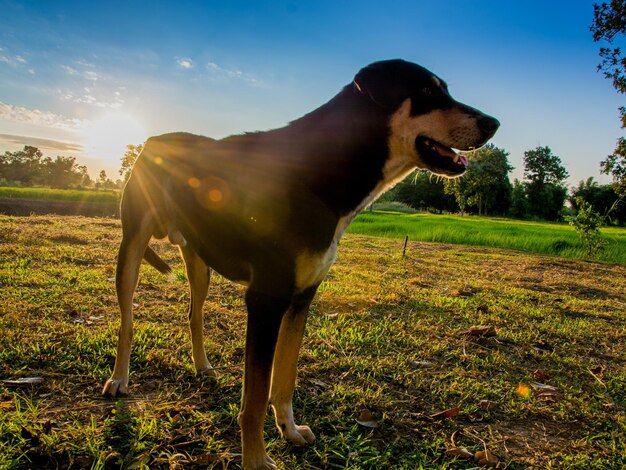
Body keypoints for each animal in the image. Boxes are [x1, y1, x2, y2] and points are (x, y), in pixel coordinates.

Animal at [103, 59, 498, 470]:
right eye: (427, 92)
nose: (494, 124)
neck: (320, 172)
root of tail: (152, 139)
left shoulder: (302, 297)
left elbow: (285, 379)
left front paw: (289, 430)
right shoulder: (265, 299)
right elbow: (255, 399)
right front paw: (256, 460)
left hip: (199, 260)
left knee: (194, 314)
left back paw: (202, 366)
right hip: (131, 249)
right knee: (127, 322)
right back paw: (119, 379)